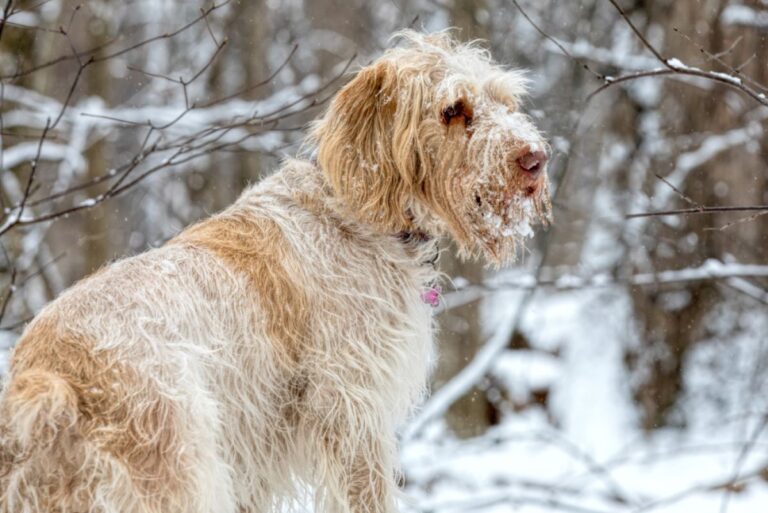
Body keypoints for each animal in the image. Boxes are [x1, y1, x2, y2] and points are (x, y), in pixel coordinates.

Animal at [0, 30, 552, 510]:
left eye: (504, 101)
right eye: (453, 110)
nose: (536, 159)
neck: (358, 212)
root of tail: (49, 375)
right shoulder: (353, 415)